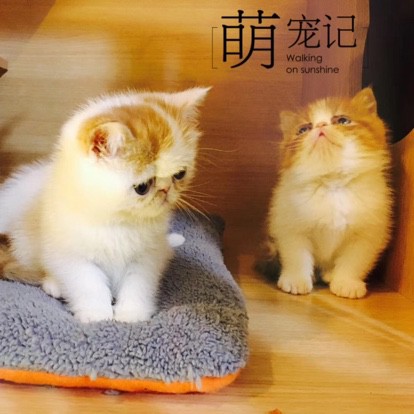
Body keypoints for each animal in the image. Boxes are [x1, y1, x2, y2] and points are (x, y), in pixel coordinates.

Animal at [0, 87, 210, 323]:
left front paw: (131, 314)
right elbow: (88, 285)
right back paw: (54, 285)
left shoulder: (147, 256)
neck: (119, 220)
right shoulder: (72, 256)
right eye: (142, 187)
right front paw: (97, 314)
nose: (166, 190)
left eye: (179, 174)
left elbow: (138, 284)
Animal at [265, 87, 392, 299]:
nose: (321, 125)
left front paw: (346, 282)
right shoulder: (289, 224)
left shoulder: (368, 232)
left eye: (343, 120)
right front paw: (296, 280)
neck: (332, 183)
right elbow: (296, 253)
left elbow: (355, 259)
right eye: (304, 129)